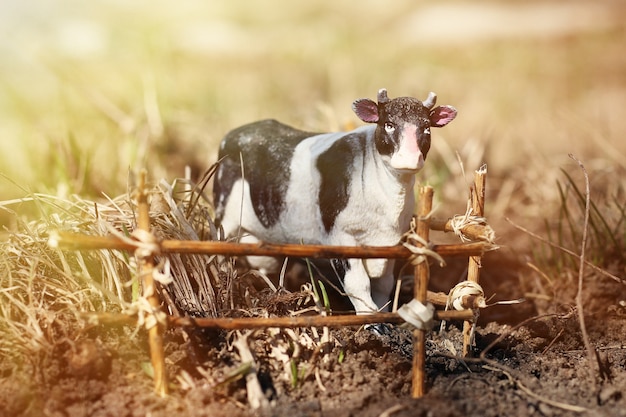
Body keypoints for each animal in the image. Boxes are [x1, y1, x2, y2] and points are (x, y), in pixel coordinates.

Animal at [211, 89, 454, 314]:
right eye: (389, 124)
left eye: (426, 128)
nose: (410, 159)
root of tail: (234, 134)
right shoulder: (341, 237)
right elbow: (357, 284)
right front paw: (371, 321)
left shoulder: (390, 242)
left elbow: (384, 285)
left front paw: (385, 315)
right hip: (224, 217)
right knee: (219, 251)